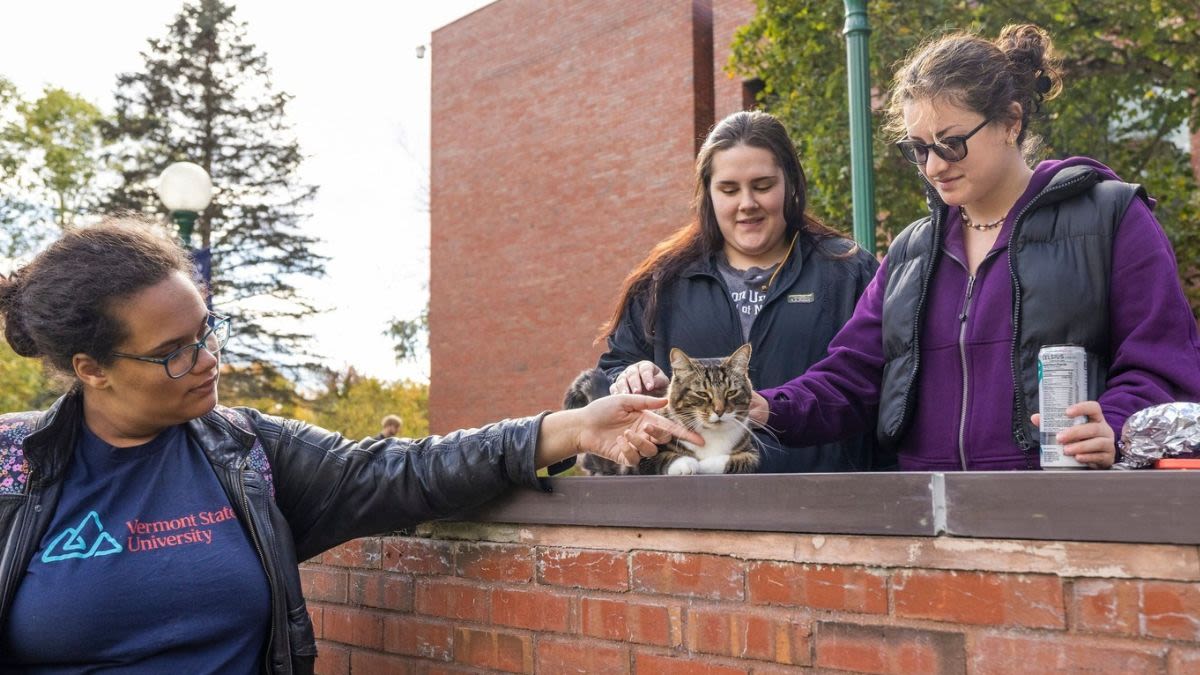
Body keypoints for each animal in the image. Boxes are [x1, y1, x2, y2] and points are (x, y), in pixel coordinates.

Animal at [561, 341, 758, 473]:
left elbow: (736, 461)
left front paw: (704, 464)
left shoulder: (752, 454)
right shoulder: (638, 458)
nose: (719, 411)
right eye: (702, 394)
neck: (711, 435)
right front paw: (688, 463)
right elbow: (660, 458)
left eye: (731, 392)